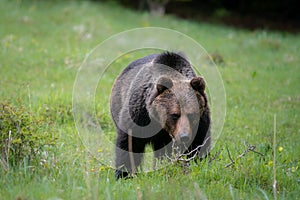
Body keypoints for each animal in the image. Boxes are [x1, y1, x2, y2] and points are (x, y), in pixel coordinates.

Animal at [110, 51, 211, 180]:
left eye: (192, 115)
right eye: (175, 115)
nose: (184, 136)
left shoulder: (201, 123)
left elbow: (198, 144)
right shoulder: (139, 115)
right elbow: (130, 141)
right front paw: (124, 174)